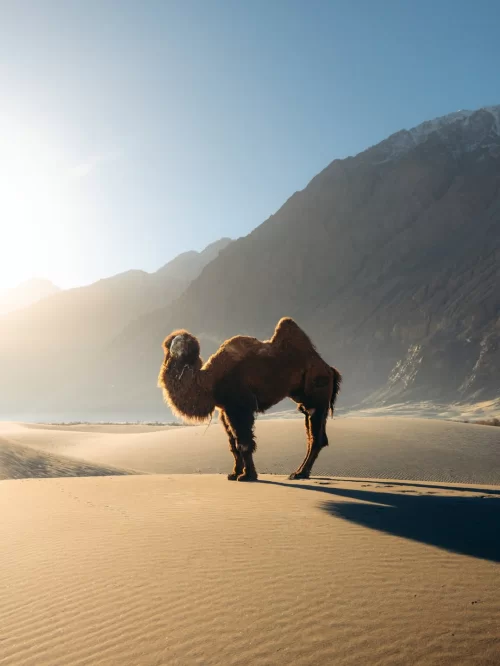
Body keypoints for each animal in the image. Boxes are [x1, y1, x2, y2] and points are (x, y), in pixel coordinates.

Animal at [157, 317, 342, 481]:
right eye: (171, 343)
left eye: (182, 344)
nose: (177, 352)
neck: (209, 381)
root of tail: (329, 369)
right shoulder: (225, 410)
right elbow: (233, 444)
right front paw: (234, 474)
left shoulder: (239, 406)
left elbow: (244, 443)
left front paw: (248, 476)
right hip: (307, 401)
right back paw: (302, 472)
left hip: (317, 397)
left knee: (315, 438)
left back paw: (299, 473)